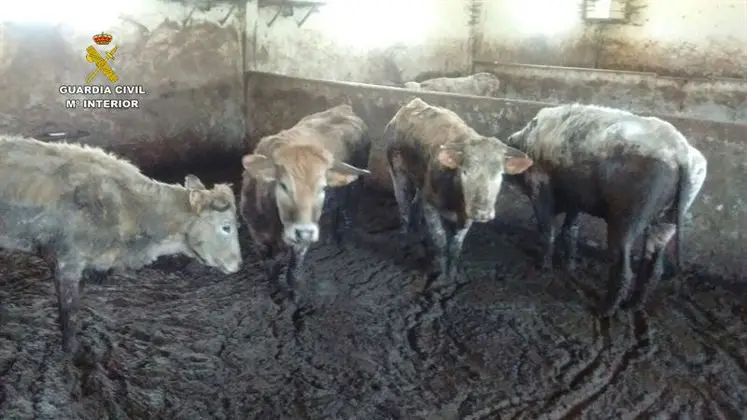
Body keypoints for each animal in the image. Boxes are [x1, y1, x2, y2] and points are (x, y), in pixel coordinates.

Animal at [240, 104, 371, 299]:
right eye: (283, 185)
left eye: (322, 188)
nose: (304, 231)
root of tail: (343, 108)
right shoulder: (257, 236)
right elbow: (270, 266)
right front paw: (274, 291)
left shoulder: (300, 244)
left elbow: (293, 272)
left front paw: (296, 296)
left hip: (357, 186)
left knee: (349, 210)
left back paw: (346, 242)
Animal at [384, 98, 533, 287]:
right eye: (464, 171)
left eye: (499, 174)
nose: (481, 212)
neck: (456, 202)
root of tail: (413, 103)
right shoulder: (430, 205)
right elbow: (440, 241)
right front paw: (441, 278)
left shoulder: (466, 216)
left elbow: (456, 246)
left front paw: (454, 277)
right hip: (397, 170)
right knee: (403, 206)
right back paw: (405, 243)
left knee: (415, 205)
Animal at [504, 103, 708, 317]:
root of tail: (679, 150)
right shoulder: (576, 200)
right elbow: (570, 231)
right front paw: (570, 268)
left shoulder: (539, 188)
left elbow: (547, 231)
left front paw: (543, 268)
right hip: (667, 222)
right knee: (654, 267)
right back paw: (633, 306)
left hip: (626, 218)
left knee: (623, 267)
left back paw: (605, 311)